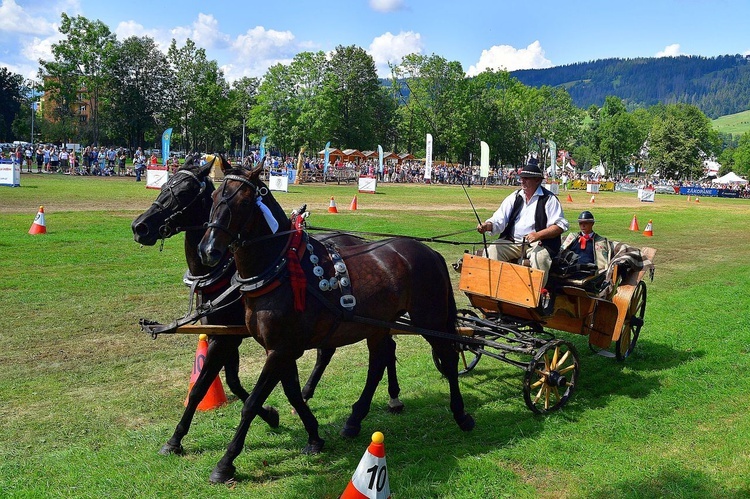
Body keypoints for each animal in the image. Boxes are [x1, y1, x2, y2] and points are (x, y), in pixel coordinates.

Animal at [132, 156, 402, 458]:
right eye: (163, 184)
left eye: (184, 192)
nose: (140, 227)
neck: (225, 272)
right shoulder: (225, 334)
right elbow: (219, 384)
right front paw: (176, 439)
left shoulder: (233, 338)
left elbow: (220, 383)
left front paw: (272, 416)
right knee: (351, 350)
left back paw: (388, 398)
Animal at [200, 157, 476, 484]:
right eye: (214, 196)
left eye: (243, 202)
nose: (209, 250)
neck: (280, 270)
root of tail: (429, 251)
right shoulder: (283, 349)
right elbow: (292, 393)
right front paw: (313, 435)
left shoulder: (280, 350)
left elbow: (253, 403)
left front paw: (226, 462)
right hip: (379, 325)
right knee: (379, 362)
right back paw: (355, 419)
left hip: (430, 320)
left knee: (448, 356)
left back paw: (460, 414)